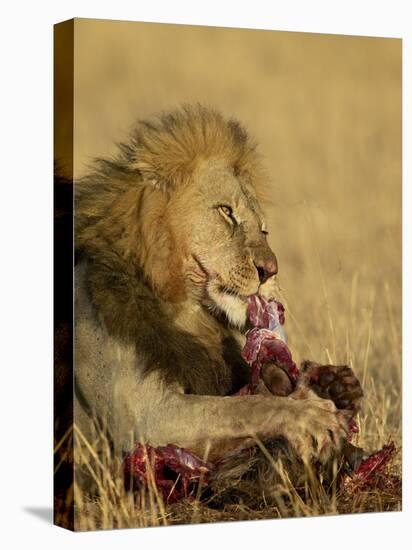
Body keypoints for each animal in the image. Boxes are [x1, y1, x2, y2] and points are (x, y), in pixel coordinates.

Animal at [74, 104, 358, 470]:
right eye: (226, 212)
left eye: (263, 229)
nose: (270, 270)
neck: (185, 310)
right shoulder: (147, 418)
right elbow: (240, 408)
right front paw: (312, 415)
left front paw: (334, 385)